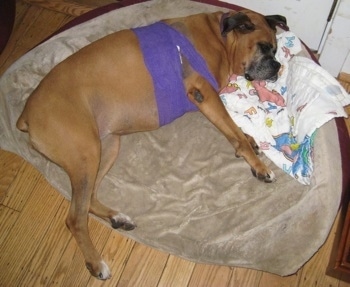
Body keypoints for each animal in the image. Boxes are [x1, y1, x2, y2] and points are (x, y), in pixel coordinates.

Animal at [15, 10, 286, 280]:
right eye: (264, 47)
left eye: (276, 49)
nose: (277, 67)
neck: (219, 37)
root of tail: (26, 113)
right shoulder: (205, 94)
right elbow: (232, 129)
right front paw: (259, 165)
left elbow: (233, 129)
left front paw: (250, 141)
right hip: (86, 154)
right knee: (75, 218)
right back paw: (96, 262)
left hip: (106, 148)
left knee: (88, 200)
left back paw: (117, 217)